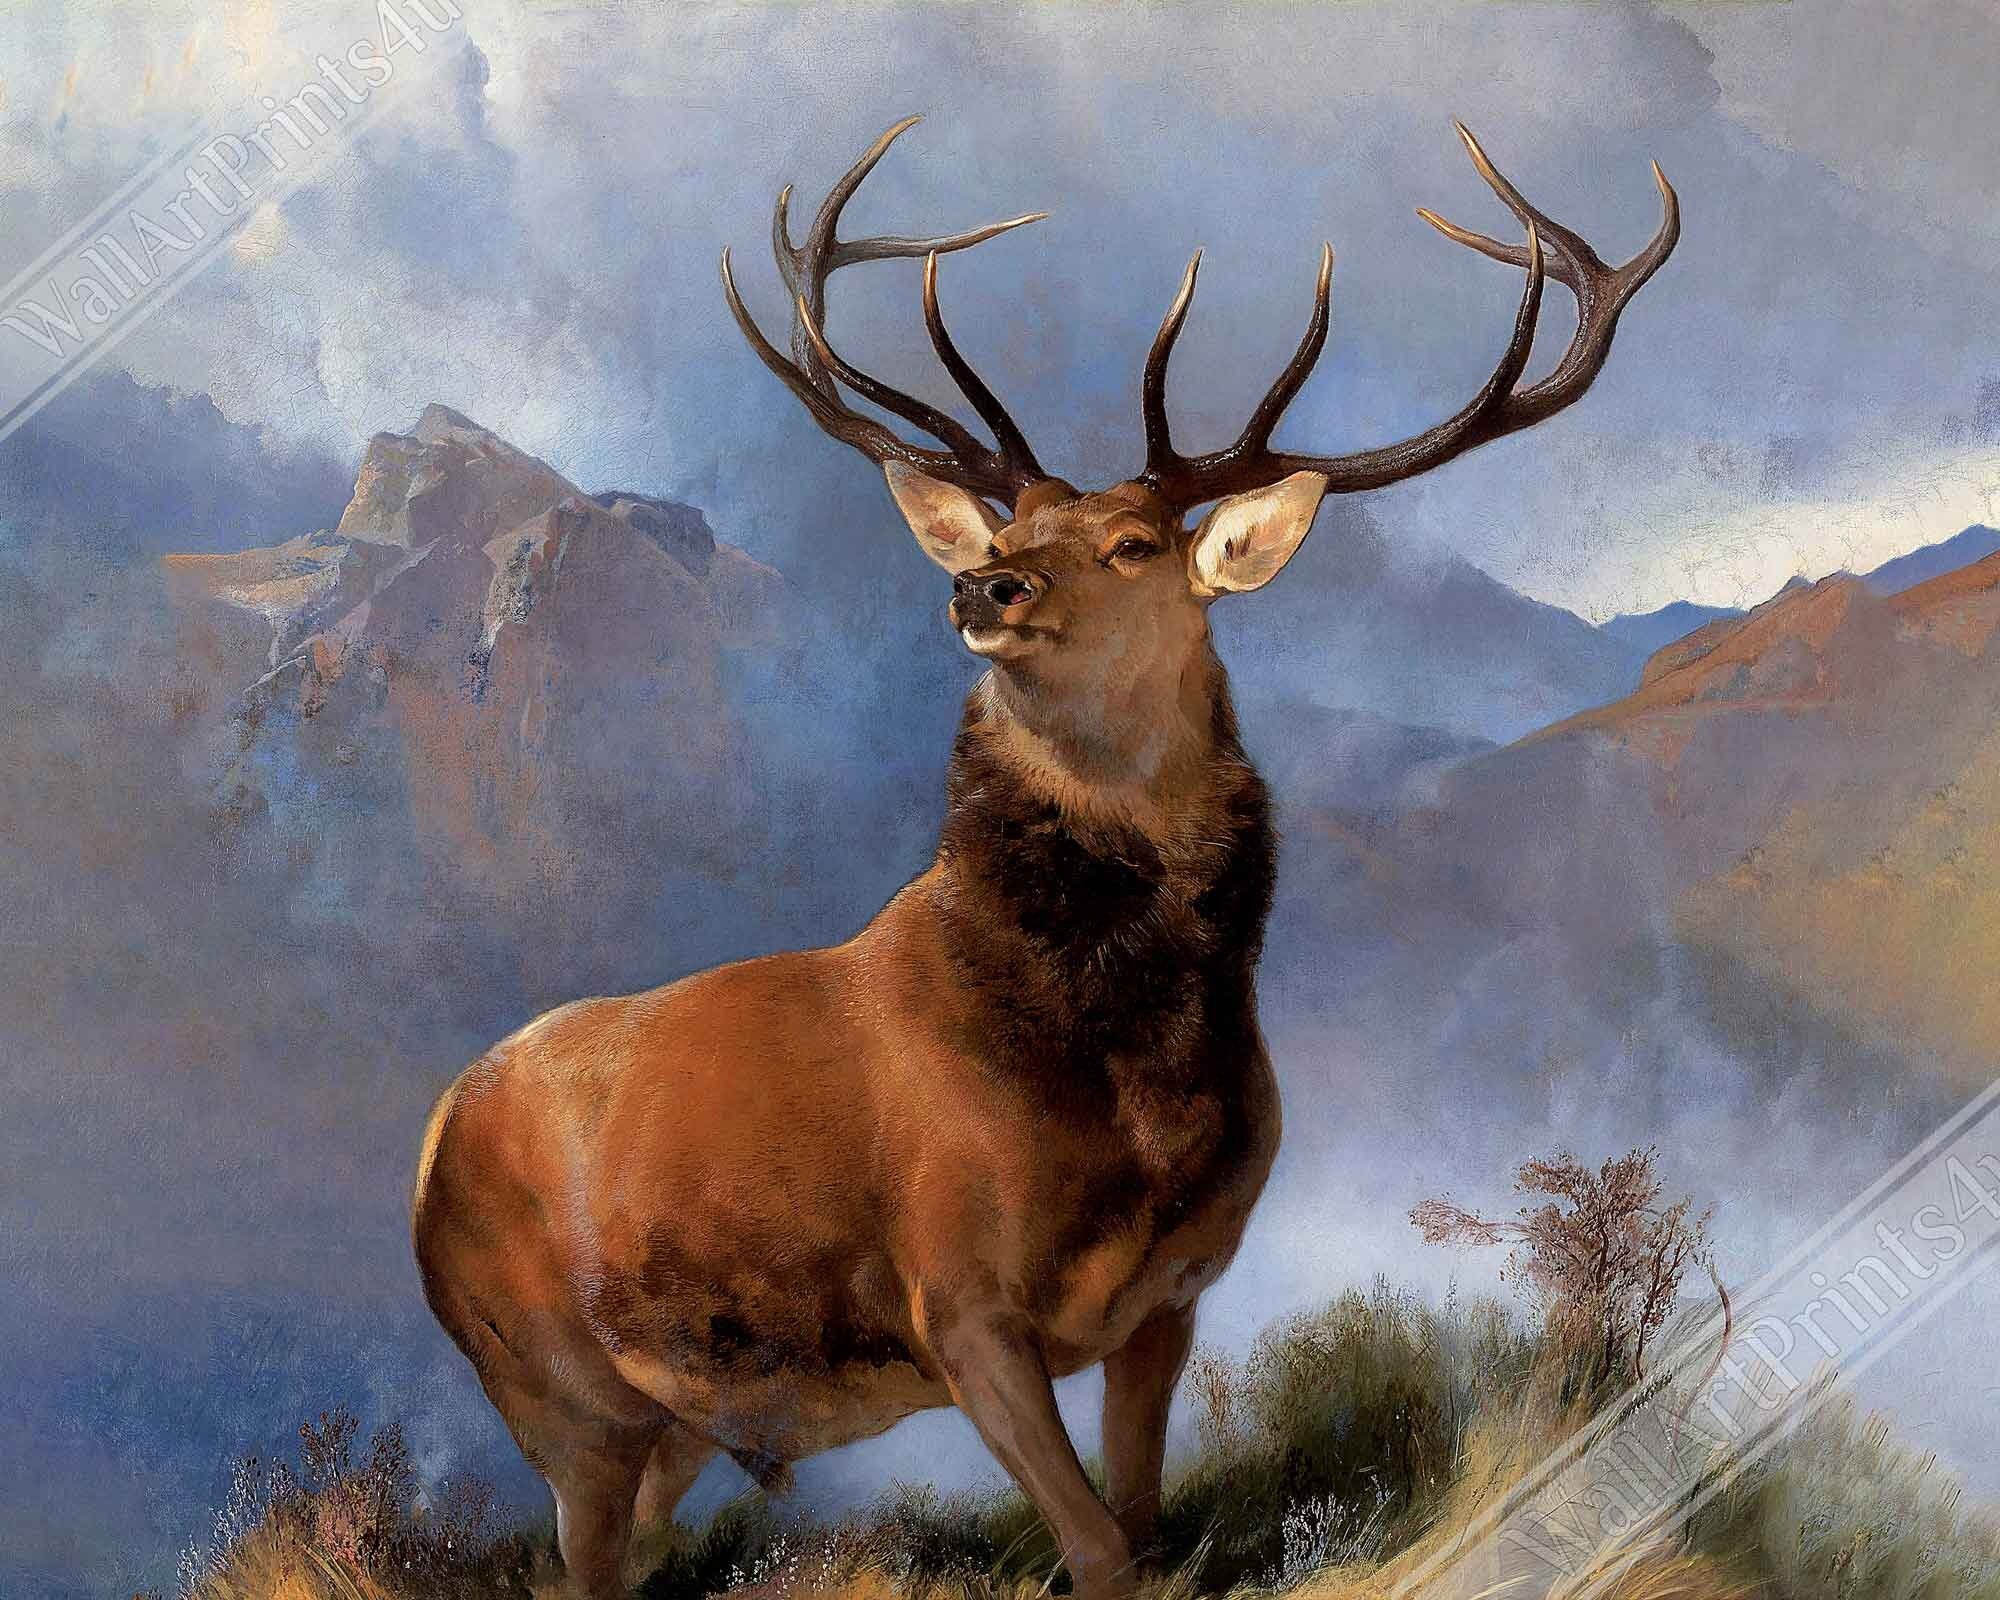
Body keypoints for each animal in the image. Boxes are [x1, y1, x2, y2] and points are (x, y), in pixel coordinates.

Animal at [412, 117, 1677, 1599]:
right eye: (1010, 534)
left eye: (1132, 544)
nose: (984, 585)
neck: (1131, 1092)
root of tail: (432, 1137)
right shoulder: (955, 1296)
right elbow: (1097, 1548)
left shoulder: (1173, 1292)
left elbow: (1141, 1521)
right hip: (557, 1394)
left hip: (673, 1423)